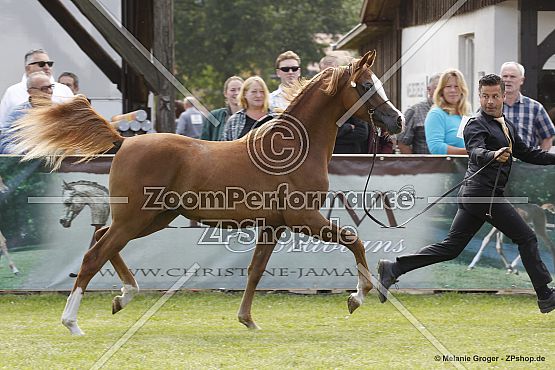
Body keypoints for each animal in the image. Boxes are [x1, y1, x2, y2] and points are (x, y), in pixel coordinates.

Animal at [10, 49, 402, 336]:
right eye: (365, 85)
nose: (396, 121)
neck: (291, 149)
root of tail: (123, 141)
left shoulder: (273, 225)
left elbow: (255, 270)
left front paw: (247, 320)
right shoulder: (302, 217)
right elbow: (354, 239)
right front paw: (358, 297)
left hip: (152, 218)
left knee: (101, 239)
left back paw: (124, 297)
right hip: (136, 218)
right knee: (95, 254)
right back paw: (73, 322)